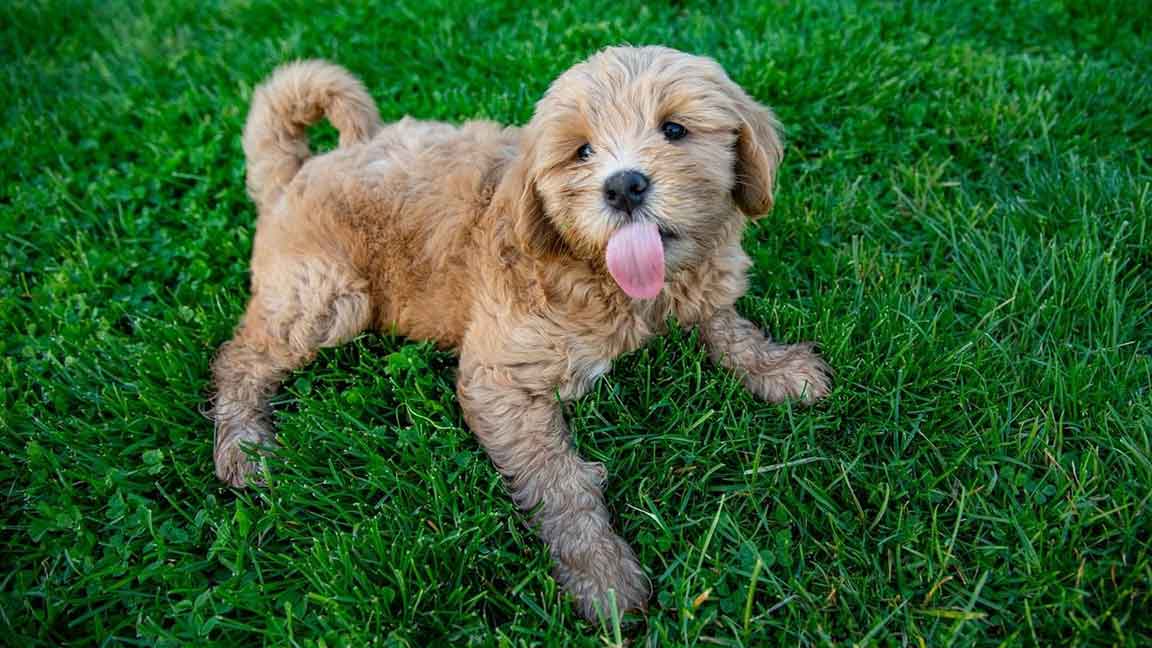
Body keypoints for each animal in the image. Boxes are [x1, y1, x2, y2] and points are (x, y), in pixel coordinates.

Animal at [211, 46, 829, 622]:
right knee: (239, 356)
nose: (624, 187)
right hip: (327, 294)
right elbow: (559, 480)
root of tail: (297, 171)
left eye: (674, 129)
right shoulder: (501, 378)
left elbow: (726, 325)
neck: (614, 284)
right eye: (582, 151)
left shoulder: (699, 288)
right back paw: (243, 447)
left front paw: (780, 368)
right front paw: (600, 572)